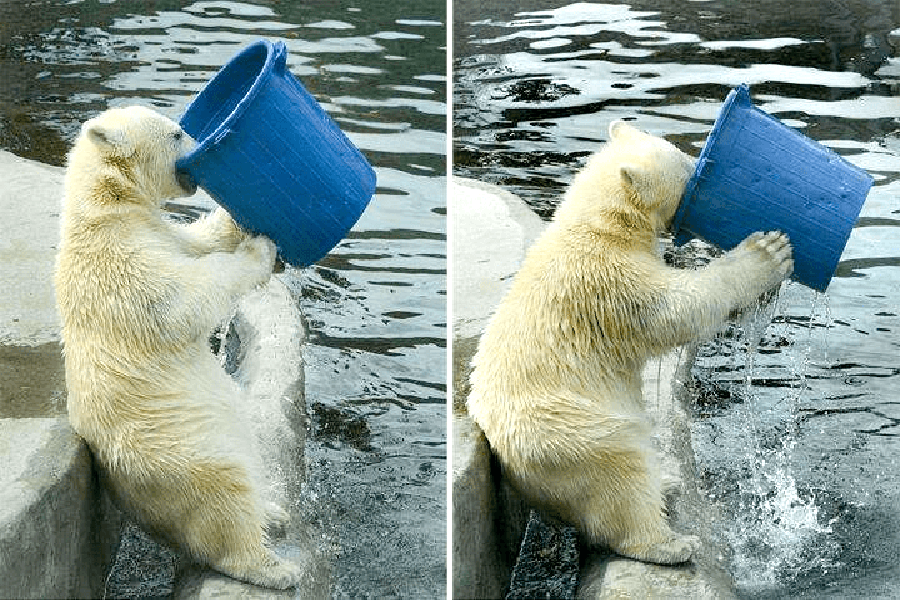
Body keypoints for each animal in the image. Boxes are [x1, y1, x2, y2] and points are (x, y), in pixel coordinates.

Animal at [56, 105, 302, 588]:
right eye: (175, 134)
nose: (199, 147)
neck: (106, 206)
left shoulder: (159, 234)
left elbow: (197, 240)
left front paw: (240, 220)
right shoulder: (124, 266)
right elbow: (187, 299)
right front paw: (260, 249)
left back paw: (273, 512)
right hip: (180, 454)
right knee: (226, 495)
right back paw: (276, 565)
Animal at [468, 120, 792, 564]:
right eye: (687, 167)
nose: (701, 165)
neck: (598, 225)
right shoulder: (611, 282)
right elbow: (679, 308)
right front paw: (768, 251)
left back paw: (667, 482)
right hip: (572, 434)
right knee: (622, 474)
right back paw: (670, 542)